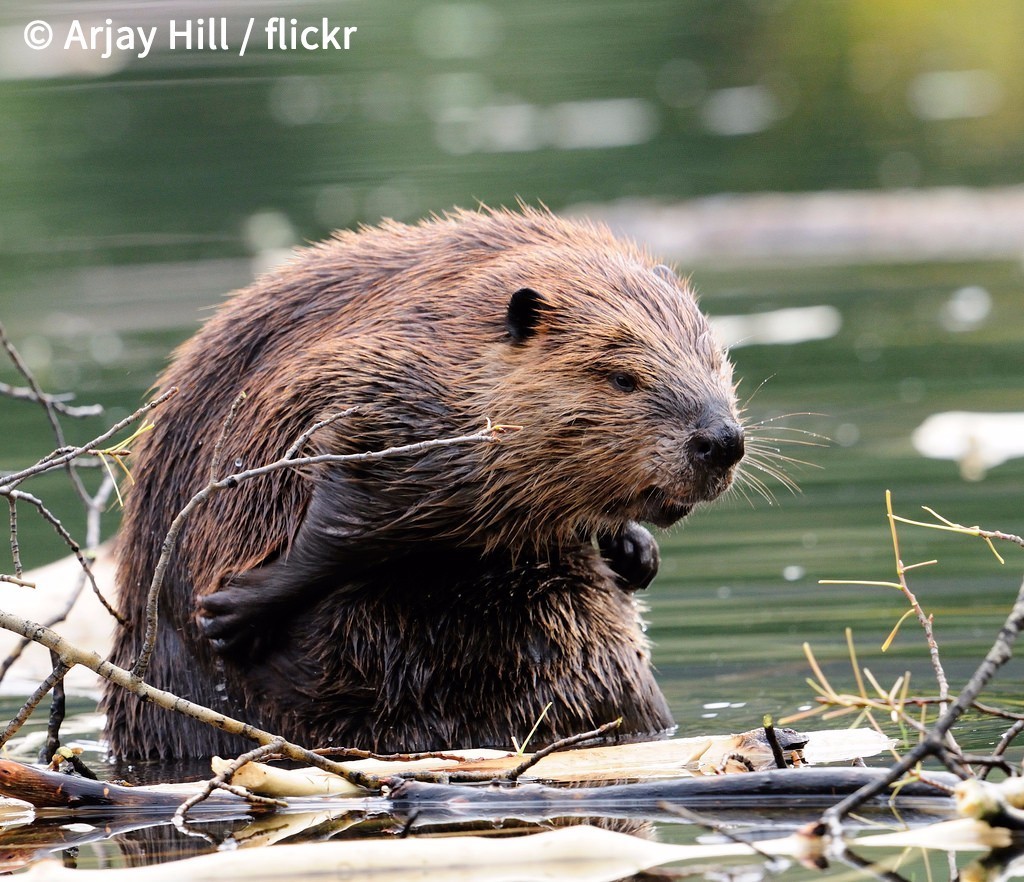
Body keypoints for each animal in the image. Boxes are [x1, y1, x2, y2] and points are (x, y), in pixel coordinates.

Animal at [101, 206, 745, 758]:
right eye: (622, 377)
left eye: (715, 357)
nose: (721, 441)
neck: (459, 330)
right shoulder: (387, 392)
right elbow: (344, 501)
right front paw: (230, 612)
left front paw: (637, 553)